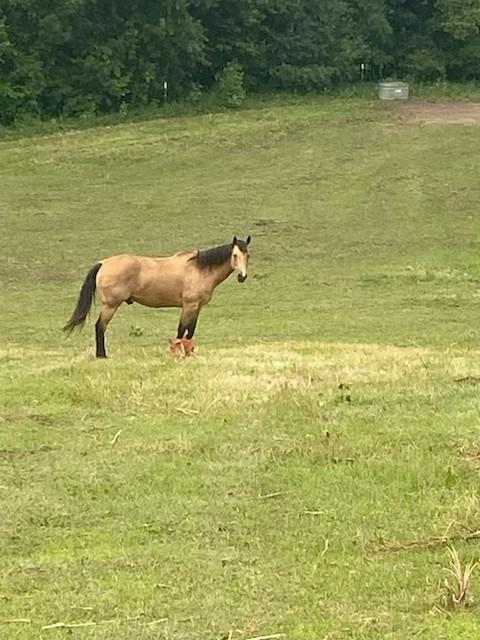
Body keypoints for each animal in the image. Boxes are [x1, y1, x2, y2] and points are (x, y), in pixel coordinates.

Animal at [63, 236, 251, 358]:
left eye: (247, 255)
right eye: (235, 255)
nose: (242, 276)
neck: (199, 269)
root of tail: (103, 263)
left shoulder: (197, 307)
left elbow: (190, 332)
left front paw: (189, 352)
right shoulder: (189, 306)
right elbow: (181, 330)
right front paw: (178, 352)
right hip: (110, 306)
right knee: (100, 327)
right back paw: (102, 355)